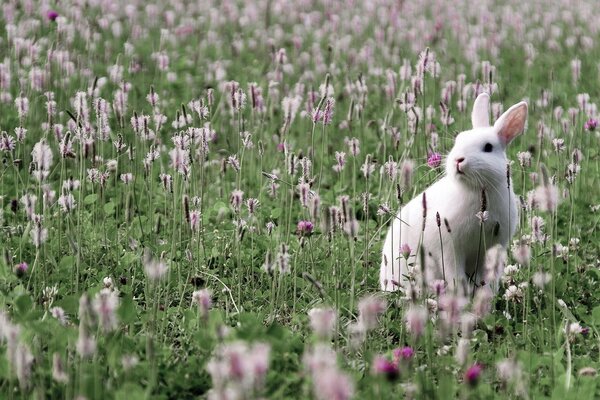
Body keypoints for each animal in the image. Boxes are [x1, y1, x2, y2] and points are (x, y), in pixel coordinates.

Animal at [382, 93, 528, 294]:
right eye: (458, 140)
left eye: (488, 147)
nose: (458, 160)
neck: (475, 189)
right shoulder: (449, 249)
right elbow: (455, 276)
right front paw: (462, 296)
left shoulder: (493, 248)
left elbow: (488, 278)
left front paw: (486, 295)